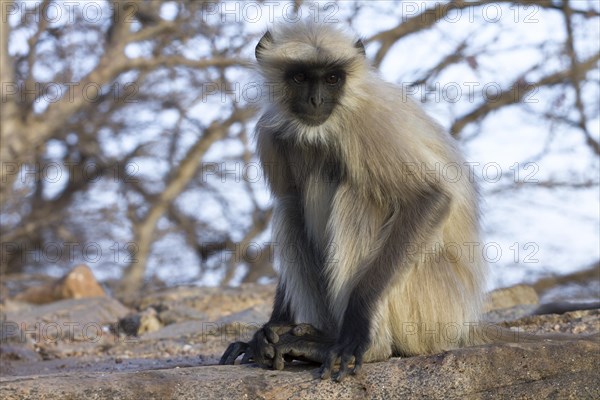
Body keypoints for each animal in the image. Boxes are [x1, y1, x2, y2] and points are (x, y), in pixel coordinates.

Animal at [218, 20, 588, 380]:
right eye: (300, 77)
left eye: (332, 78)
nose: (316, 100)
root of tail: (466, 320)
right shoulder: (271, 132)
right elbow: (291, 197)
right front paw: (269, 330)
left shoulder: (370, 122)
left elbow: (430, 197)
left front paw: (355, 332)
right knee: (290, 209)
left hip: (431, 305)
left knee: (357, 194)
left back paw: (361, 346)